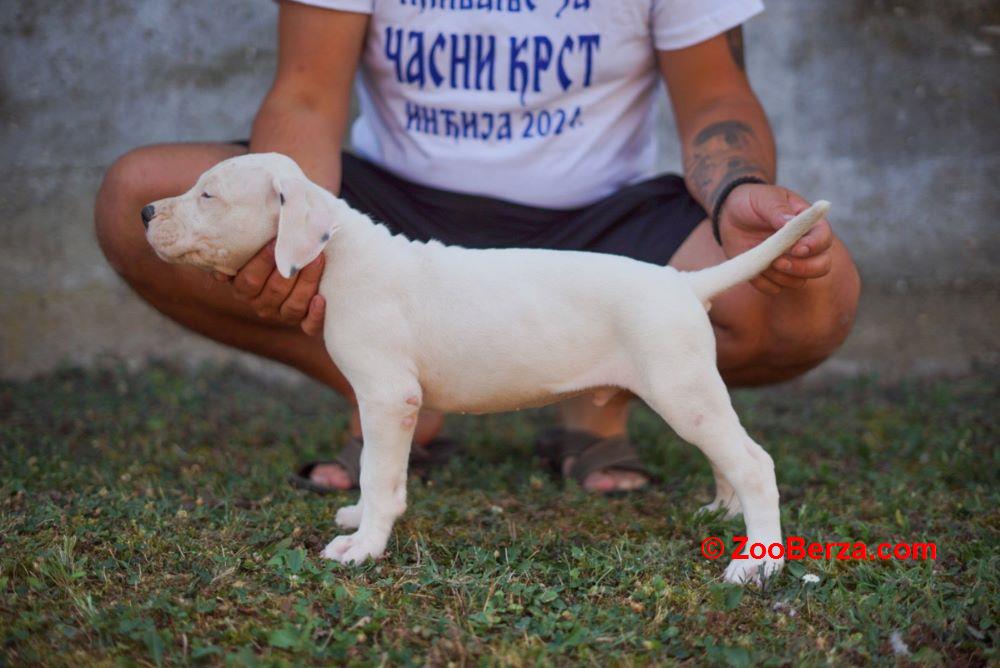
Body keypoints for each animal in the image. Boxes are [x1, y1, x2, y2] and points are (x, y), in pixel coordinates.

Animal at [141, 153, 828, 584]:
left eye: (208, 194)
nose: (146, 213)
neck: (343, 256)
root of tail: (683, 283)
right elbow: (374, 476)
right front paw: (359, 520)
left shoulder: (388, 397)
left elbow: (378, 475)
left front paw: (364, 547)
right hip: (690, 391)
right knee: (729, 456)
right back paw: (725, 515)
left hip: (681, 389)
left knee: (755, 462)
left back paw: (757, 561)